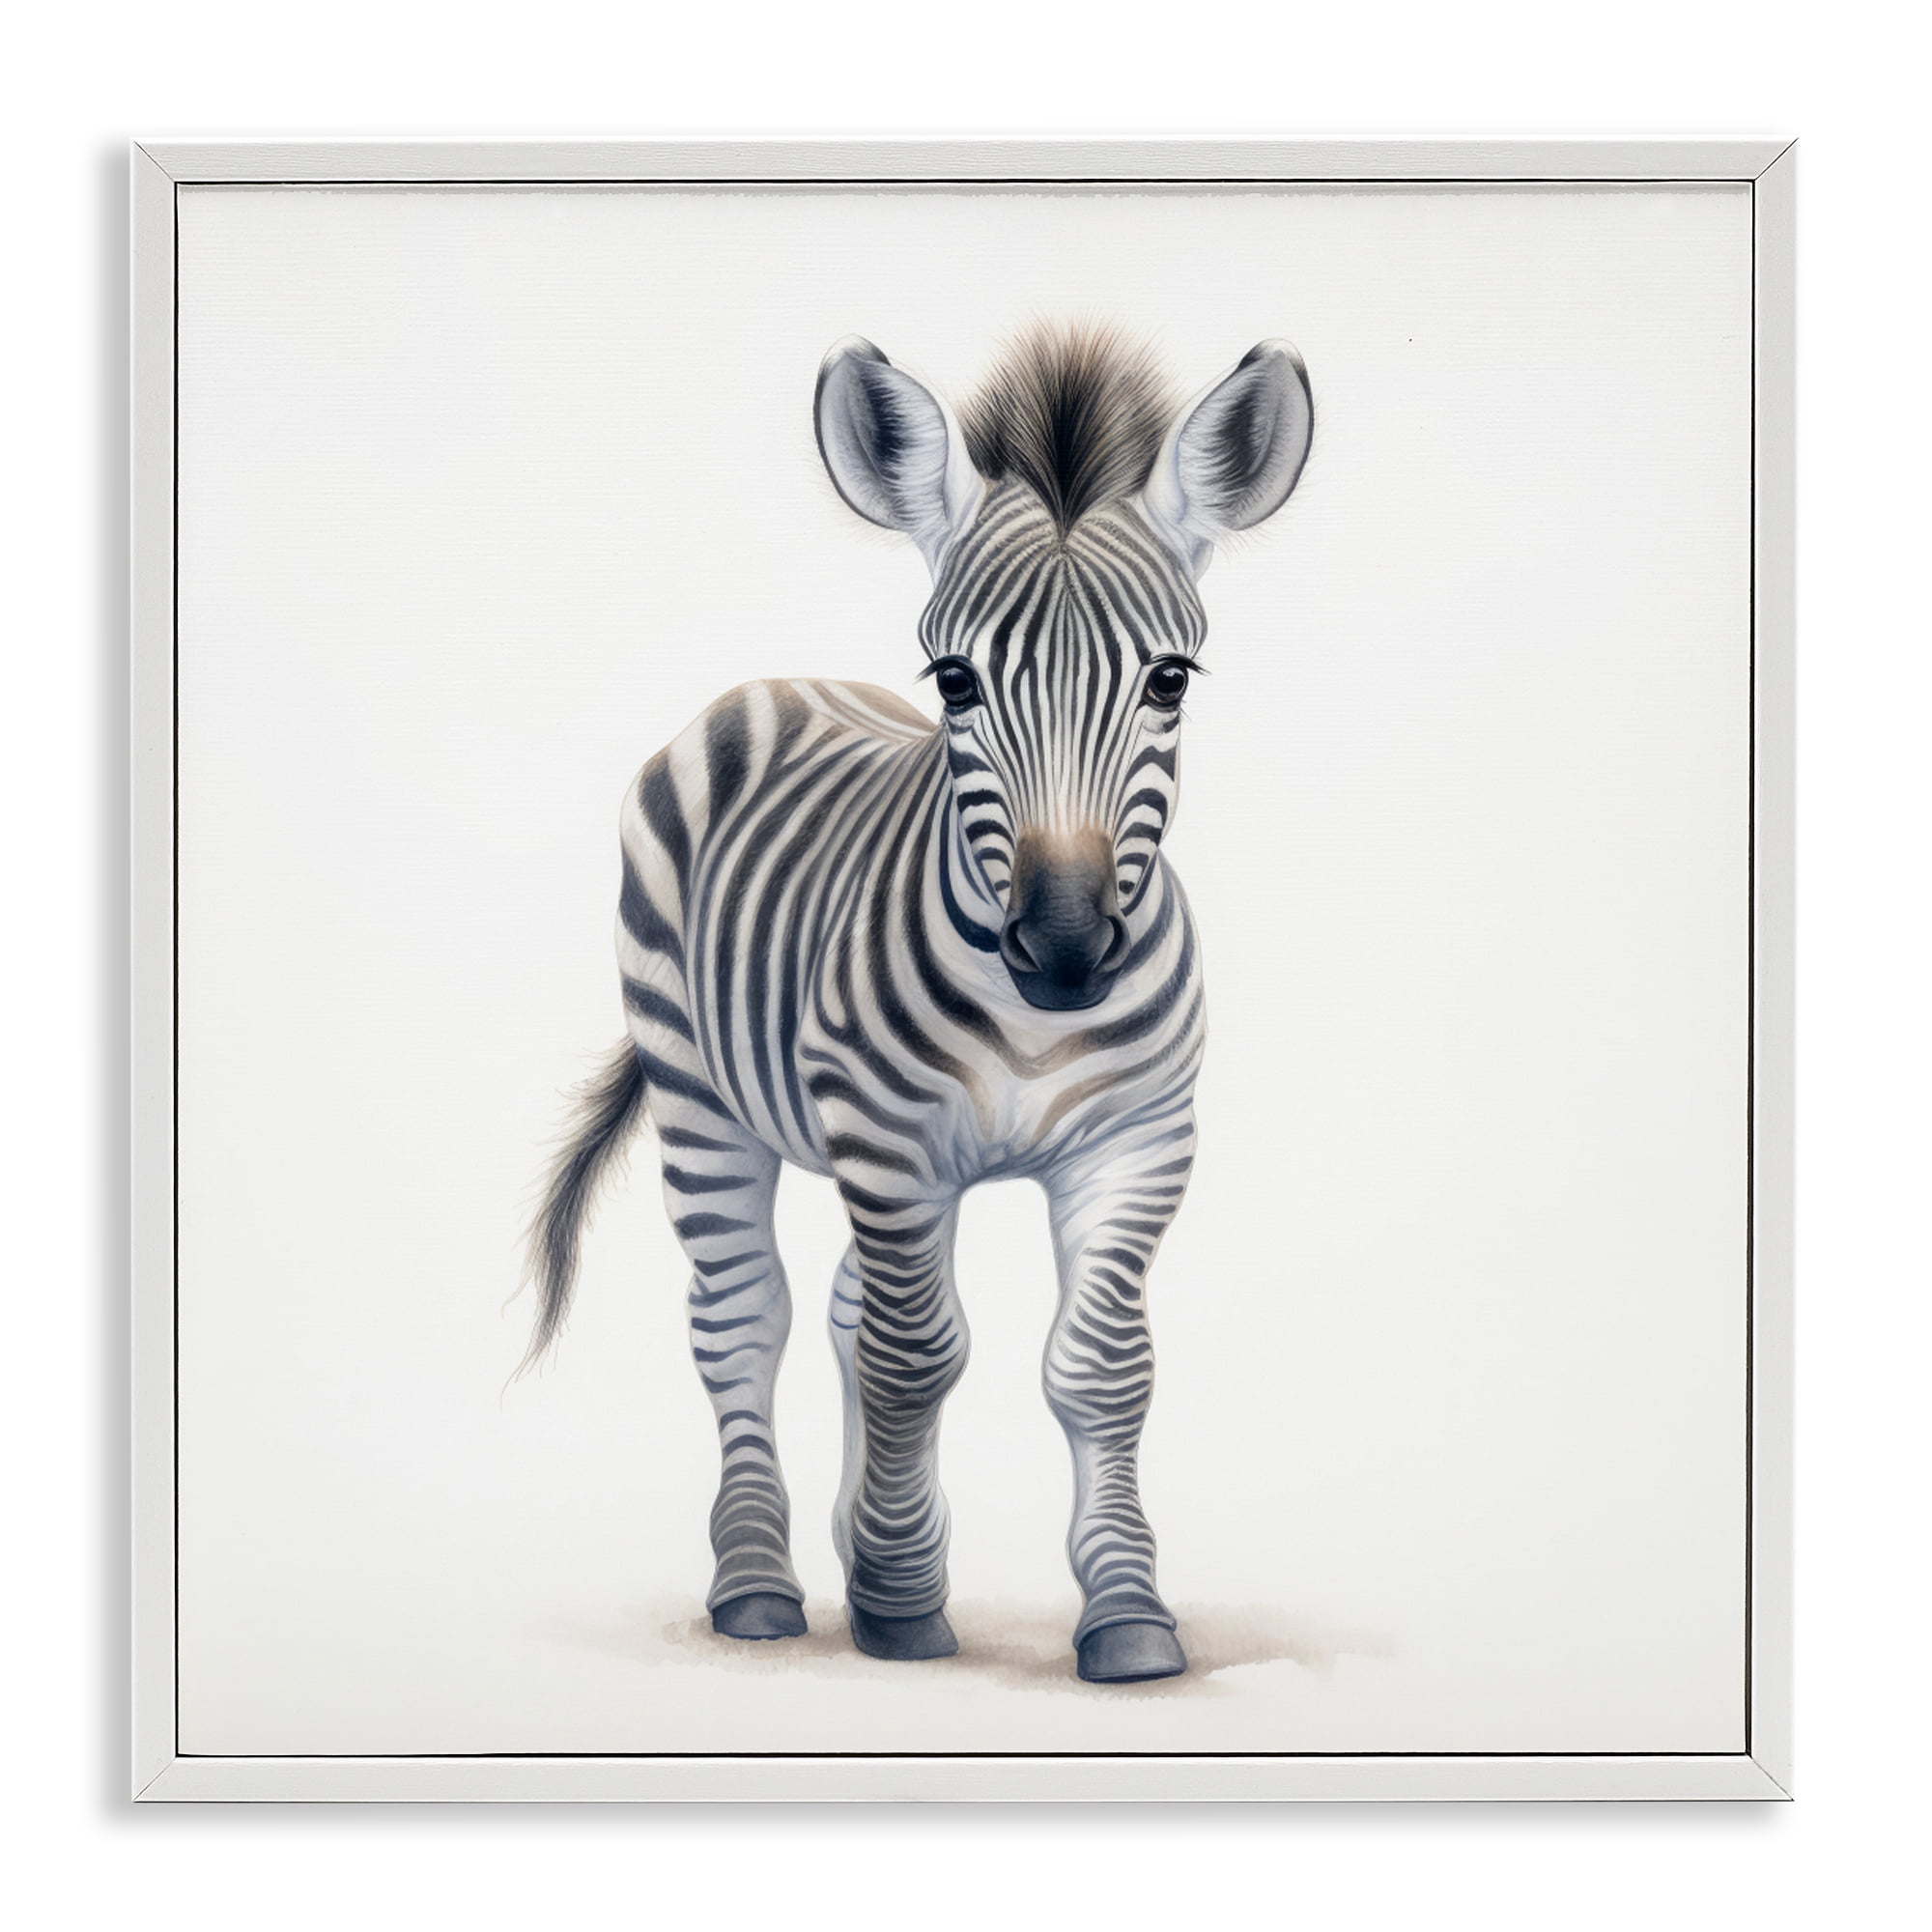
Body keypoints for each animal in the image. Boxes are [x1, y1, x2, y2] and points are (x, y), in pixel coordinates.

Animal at [525, 323, 1313, 1683]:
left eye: (1169, 679)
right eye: (952, 680)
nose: (1063, 950)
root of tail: (775, 682)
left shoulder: (1139, 1140)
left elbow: (1099, 1367)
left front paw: (1124, 1614)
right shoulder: (889, 1136)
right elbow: (916, 1354)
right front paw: (901, 1606)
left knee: (847, 1307)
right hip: (698, 1092)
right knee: (744, 1318)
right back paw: (758, 1583)